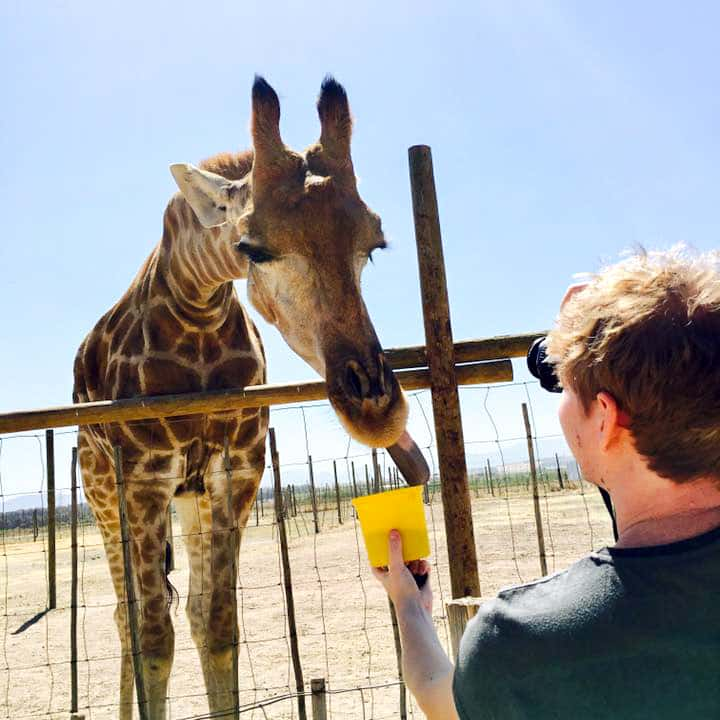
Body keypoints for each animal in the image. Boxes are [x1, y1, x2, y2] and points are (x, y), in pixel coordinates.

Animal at [73, 76, 428, 716]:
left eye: (376, 243)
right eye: (253, 248)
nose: (379, 414)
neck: (195, 309)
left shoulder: (236, 472)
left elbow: (216, 626)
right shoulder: (141, 478)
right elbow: (154, 637)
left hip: (188, 496)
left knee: (176, 611)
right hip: (100, 491)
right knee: (123, 616)